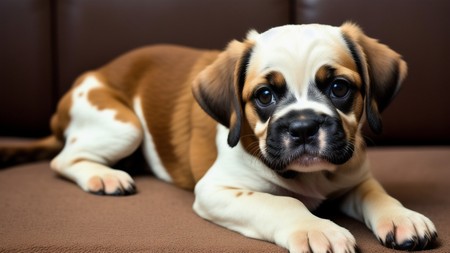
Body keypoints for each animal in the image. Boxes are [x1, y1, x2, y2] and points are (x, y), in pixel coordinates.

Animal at [0, 22, 436, 252]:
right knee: (63, 159)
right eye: (265, 95)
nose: (302, 128)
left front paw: (402, 217)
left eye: (339, 88)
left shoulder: (355, 176)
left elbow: (377, 195)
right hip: (124, 126)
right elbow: (282, 204)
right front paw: (317, 228)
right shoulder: (216, 190)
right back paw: (105, 176)